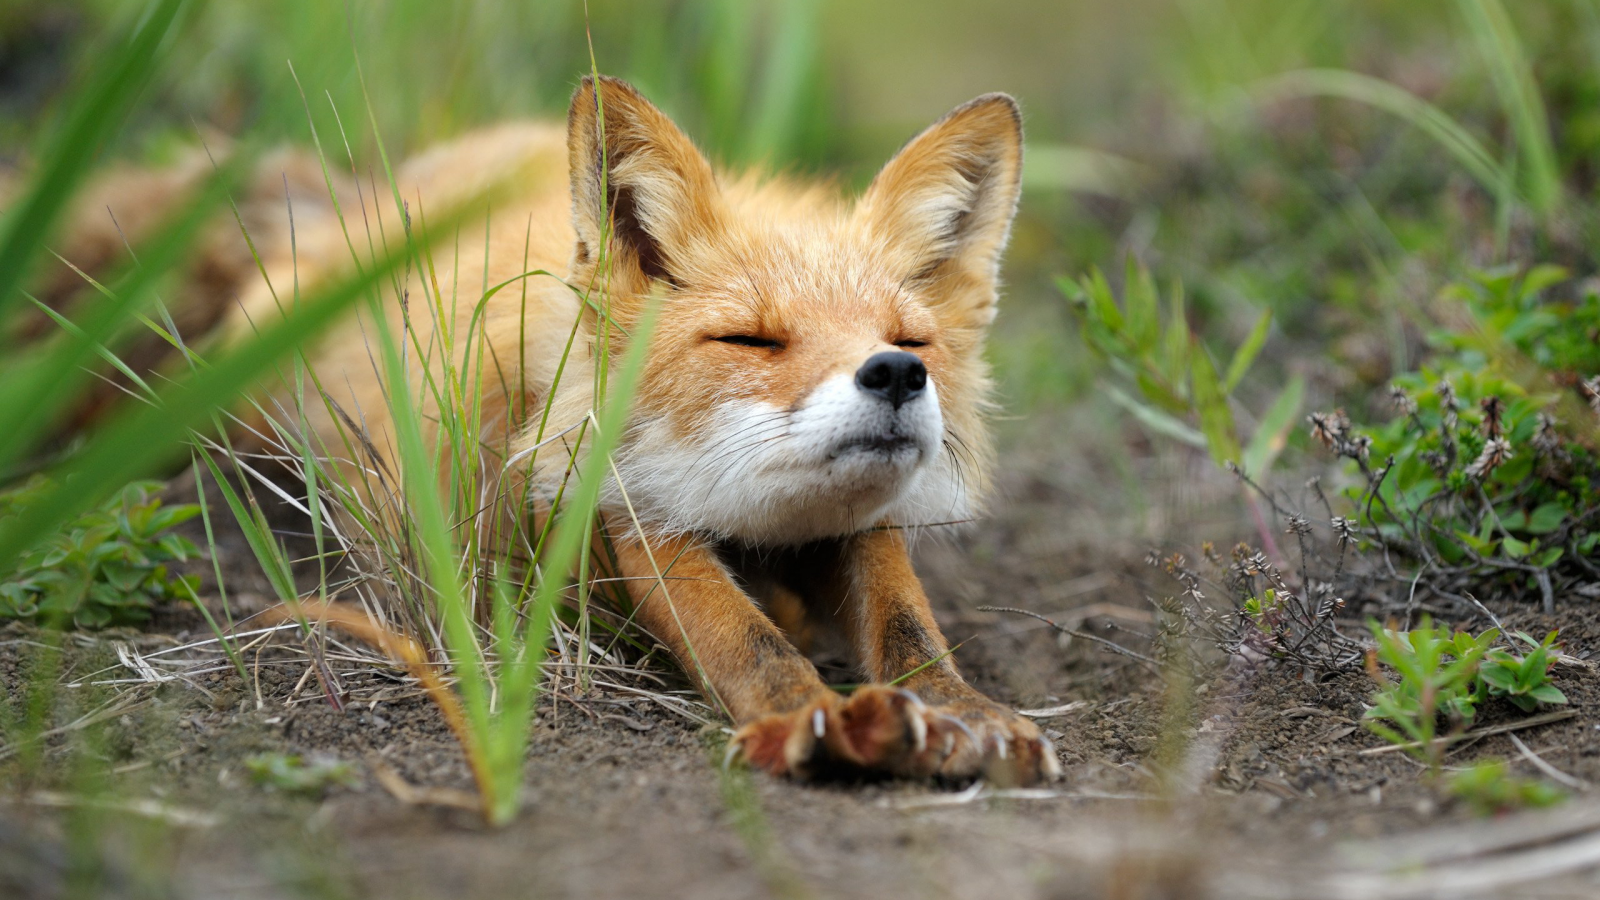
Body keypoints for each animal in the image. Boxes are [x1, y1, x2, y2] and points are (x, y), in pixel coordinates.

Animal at [35, 75, 1059, 785]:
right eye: (751, 338)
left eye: (910, 340)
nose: (895, 375)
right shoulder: (606, 506)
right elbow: (736, 629)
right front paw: (806, 717)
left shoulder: (858, 523)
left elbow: (905, 619)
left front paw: (962, 710)